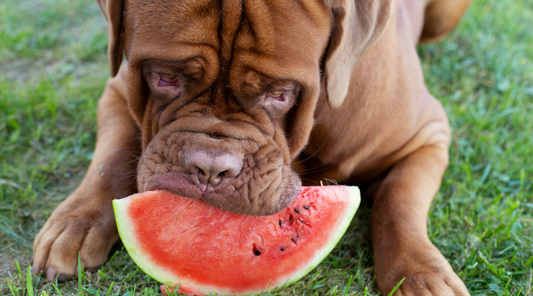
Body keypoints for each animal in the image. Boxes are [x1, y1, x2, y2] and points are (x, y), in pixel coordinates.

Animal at [31, 0, 470, 294]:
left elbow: (399, 201)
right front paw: (77, 224)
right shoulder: (117, 92)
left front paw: (420, 272)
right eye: (164, 77)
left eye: (279, 93)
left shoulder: (427, 136)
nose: (209, 168)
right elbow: (107, 163)